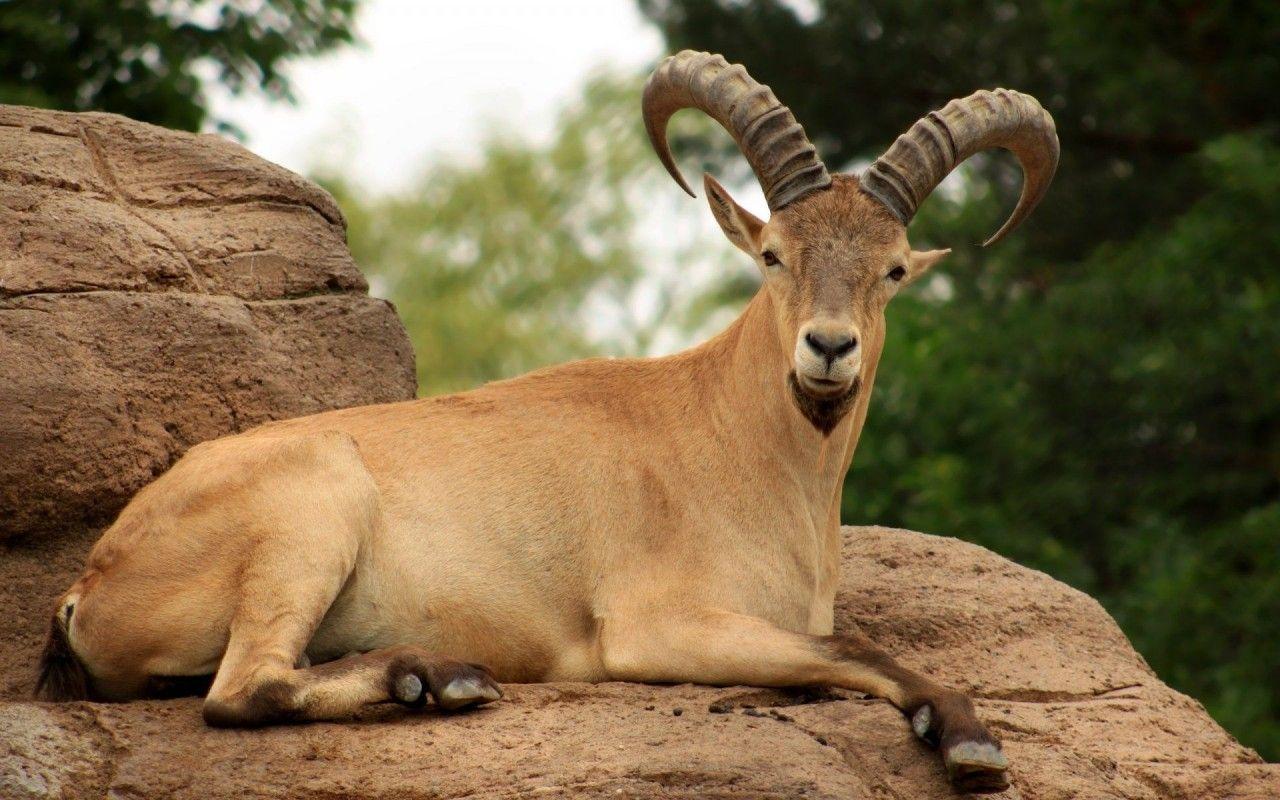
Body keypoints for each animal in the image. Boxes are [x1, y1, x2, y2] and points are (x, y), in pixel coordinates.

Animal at [36, 51, 1057, 793]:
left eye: (893, 269)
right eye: (772, 253)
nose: (829, 349)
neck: (737, 446)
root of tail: (89, 585)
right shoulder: (656, 627)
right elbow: (850, 647)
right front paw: (968, 740)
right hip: (309, 509)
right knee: (241, 689)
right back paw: (438, 678)